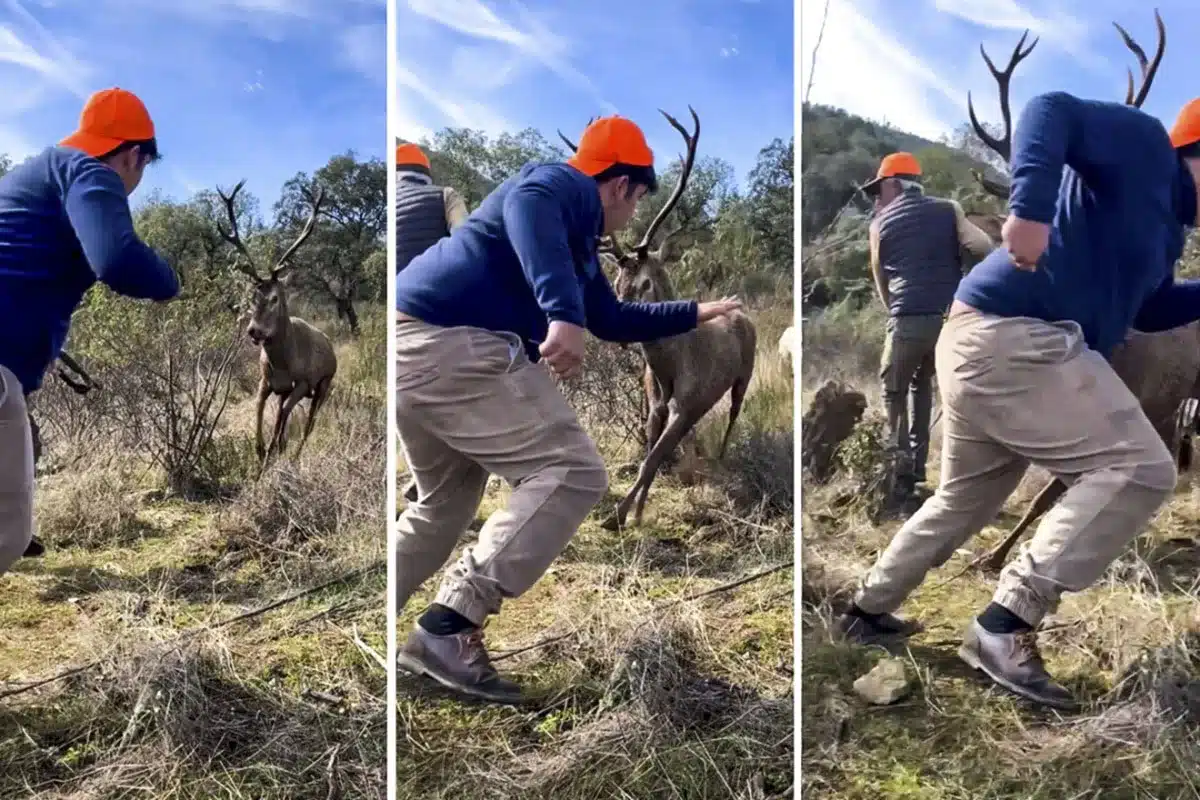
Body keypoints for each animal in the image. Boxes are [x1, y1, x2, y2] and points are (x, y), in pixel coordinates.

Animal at [216, 179, 338, 467]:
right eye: (252, 296)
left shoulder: (304, 382)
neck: (282, 362)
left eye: (274, 298)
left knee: (309, 422)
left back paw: (294, 452)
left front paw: (272, 450)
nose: (254, 330)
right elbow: (260, 410)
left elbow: (284, 415)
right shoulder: (265, 381)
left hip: (325, 382)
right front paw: (260, 449)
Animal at [559, 108, 758, 530]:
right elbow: (650, 455)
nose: (620, 335)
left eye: (647, 282)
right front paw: (635, 512)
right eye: (616, 280)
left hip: (743, 377)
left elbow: (649, 461)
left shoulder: (685, 402)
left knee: (734, 414)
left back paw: (721, 459)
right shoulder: (658, 407)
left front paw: (617, 516)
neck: (668, 367)